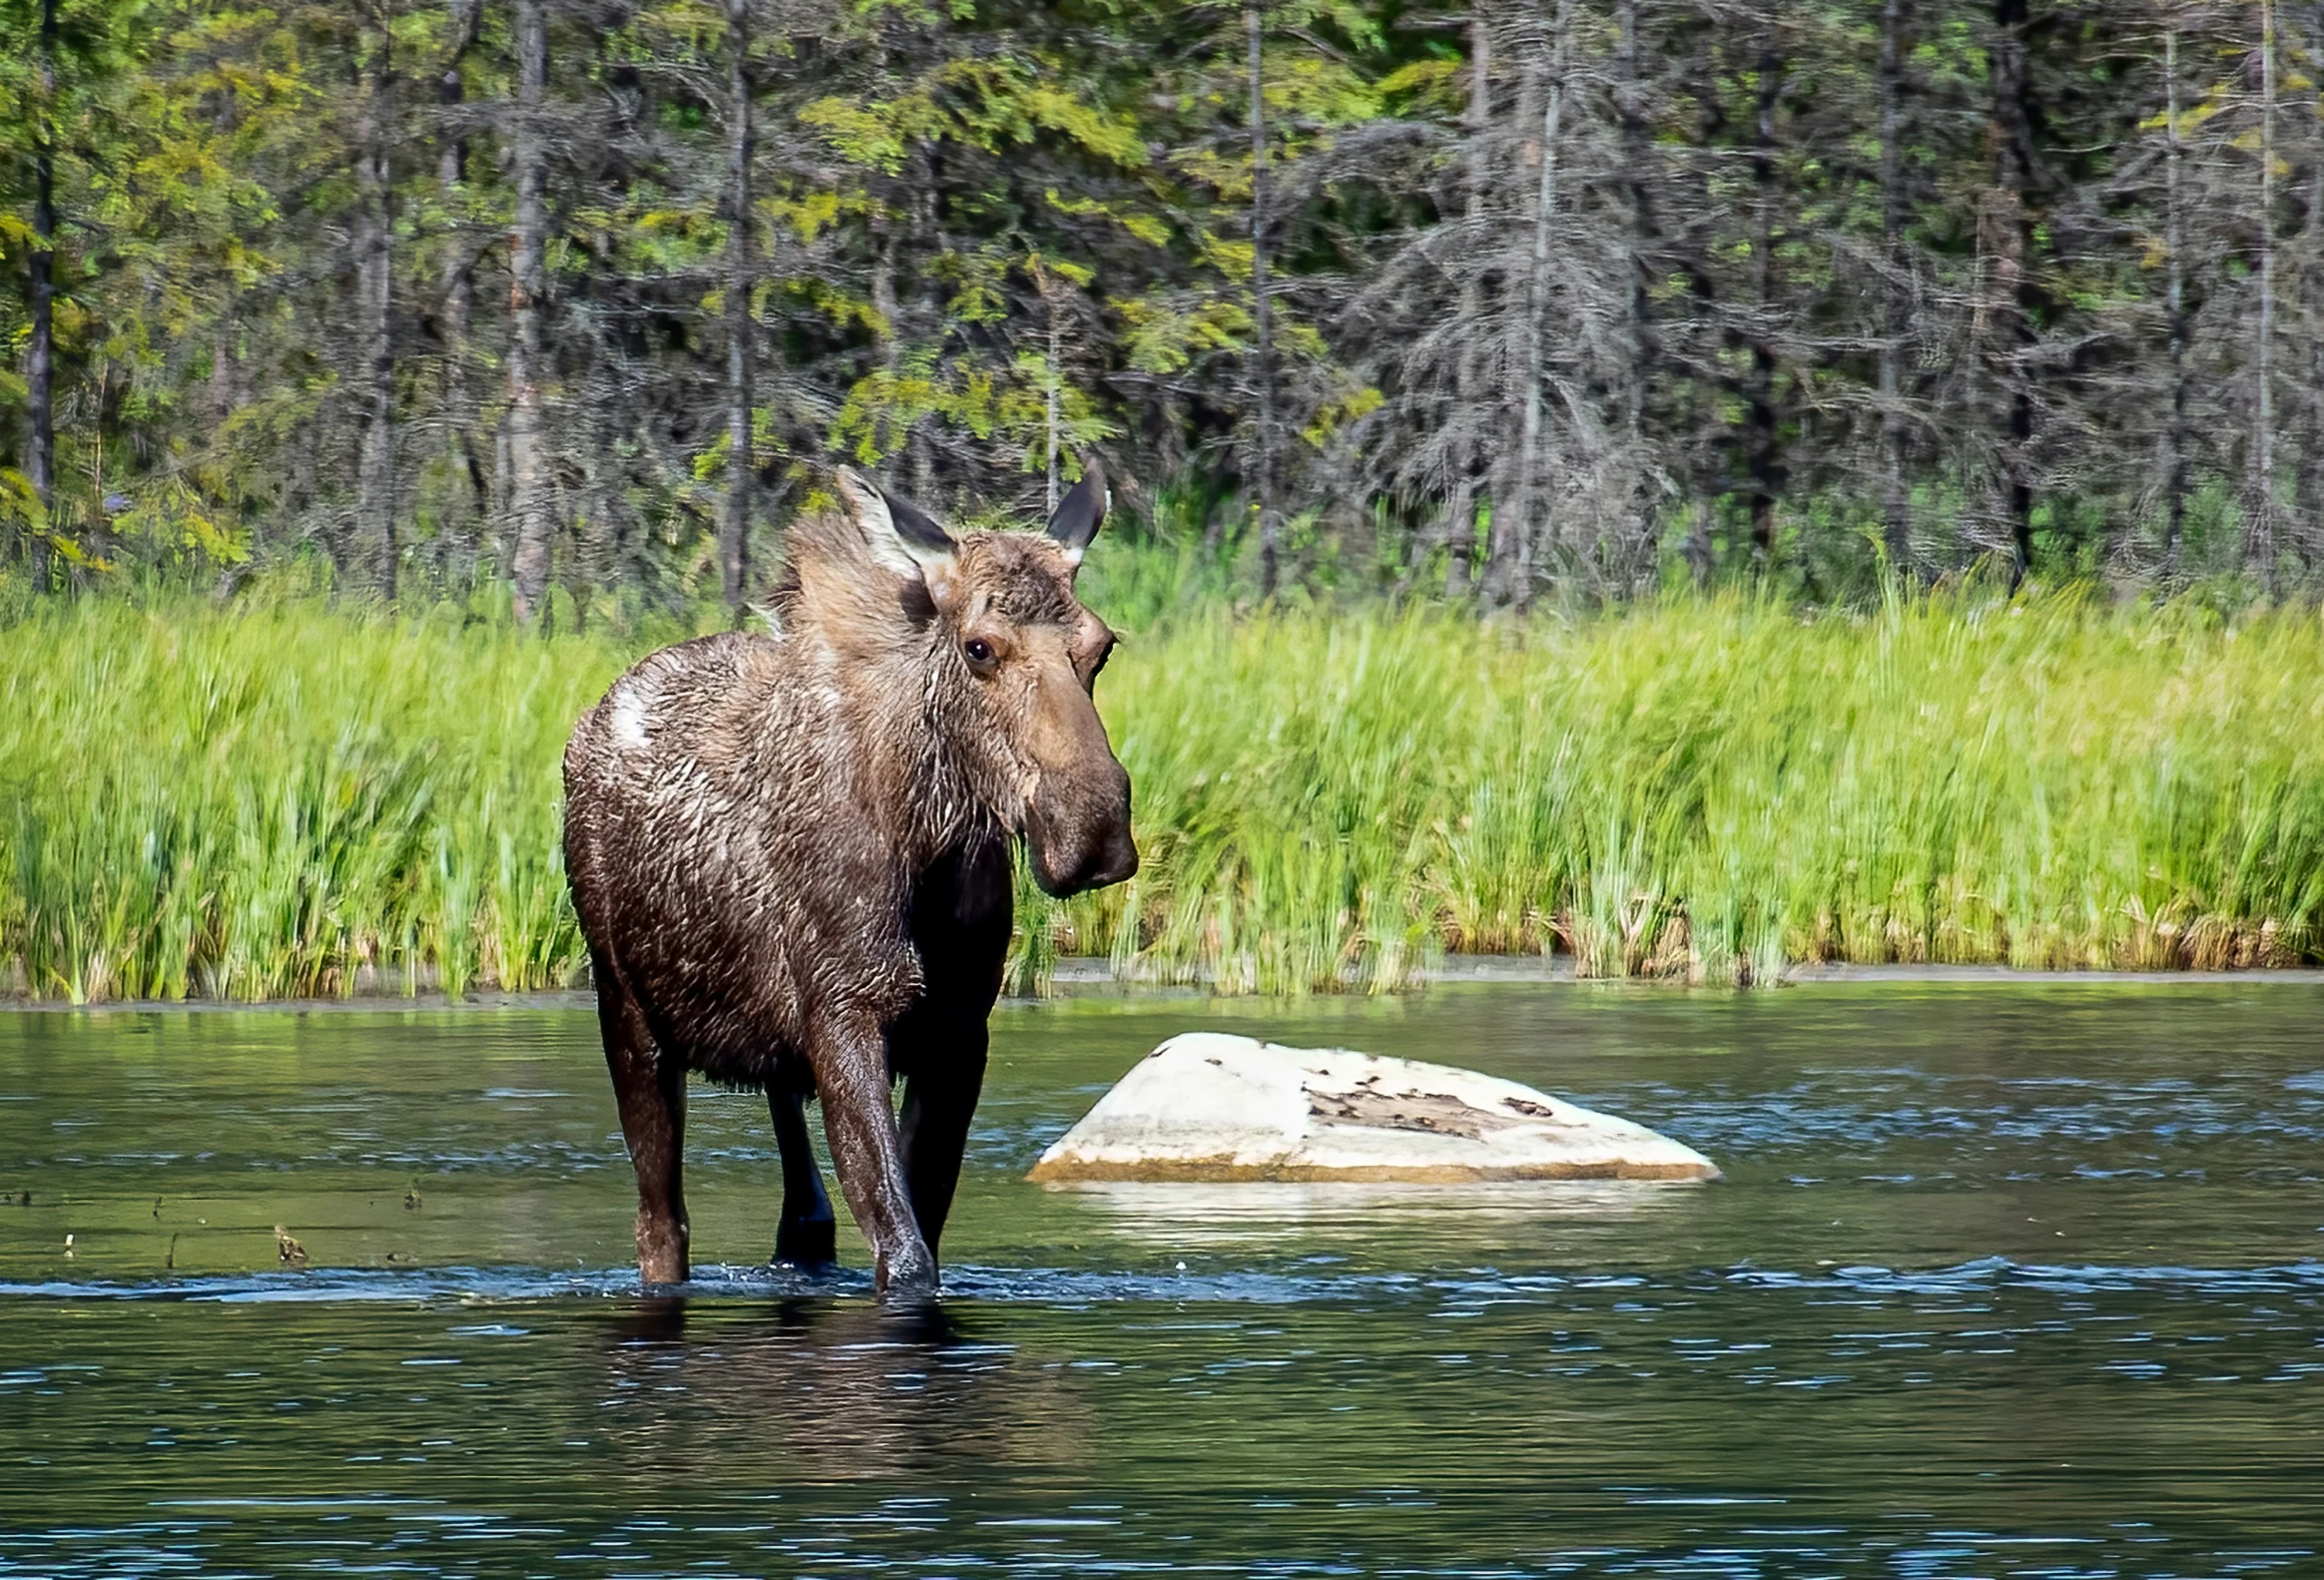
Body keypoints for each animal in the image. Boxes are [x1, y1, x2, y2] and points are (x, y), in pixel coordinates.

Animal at [567, 466, 1138, 1292]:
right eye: (979, 647)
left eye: (1101, 645)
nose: (1092, 828)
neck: (925, 847)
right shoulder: (847, 1017)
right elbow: (906, 1254)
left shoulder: (958, 1032)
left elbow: (919, 1229)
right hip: (629, 1016)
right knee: (661, 1222)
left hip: (776, 1048)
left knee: (804, 1210)